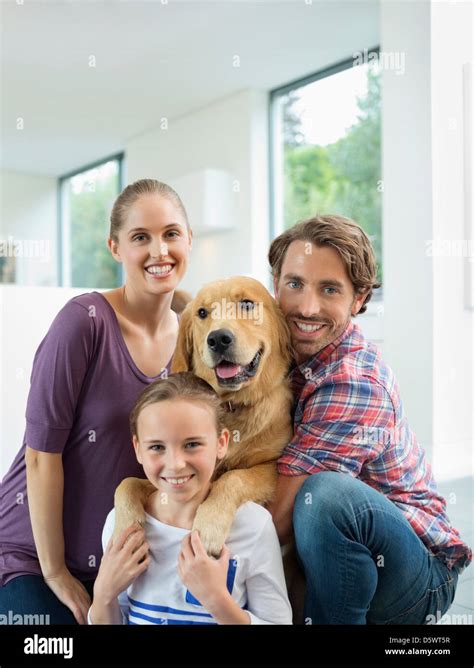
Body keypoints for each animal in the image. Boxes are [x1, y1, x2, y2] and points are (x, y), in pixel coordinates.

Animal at [114, 274, 292, 556]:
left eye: (247, 304)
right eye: (201, 313)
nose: (218, 338)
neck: (230, 404)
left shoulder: (272, 465)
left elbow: (233, 477)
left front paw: (208, 527)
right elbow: (128, 482)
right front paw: (125, 526)